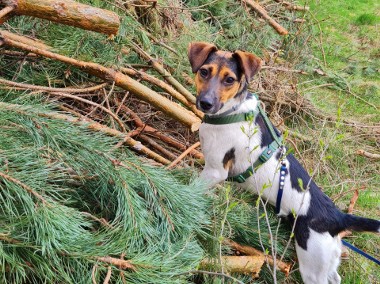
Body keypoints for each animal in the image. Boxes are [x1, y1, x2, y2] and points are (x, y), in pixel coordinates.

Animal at [188, 42, 380, 284]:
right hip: (327, 261)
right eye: (204, 72)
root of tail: (338, 218)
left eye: (229, 79)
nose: (205, 103)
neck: (232, 112)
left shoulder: (215, 171)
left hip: (312, 265)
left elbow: (191, 187)